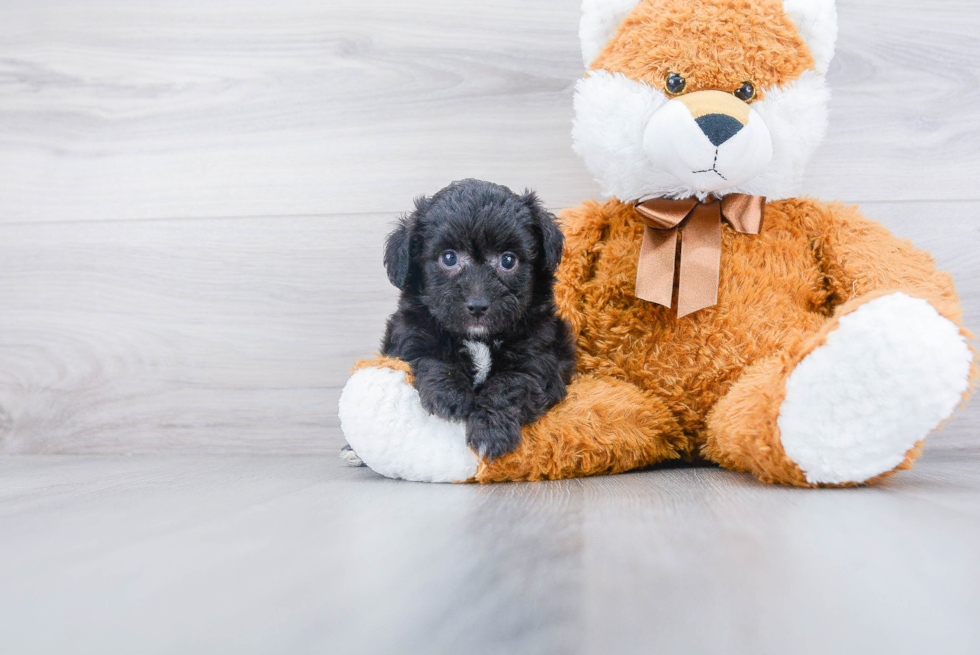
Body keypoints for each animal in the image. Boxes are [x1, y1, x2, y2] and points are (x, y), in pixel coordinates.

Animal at [378, 177, 580, 458]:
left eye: (508, 260)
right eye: (449, 257)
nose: (477, 306)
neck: (479, 339)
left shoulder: (538, 359)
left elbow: (510, 385)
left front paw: (490, 431)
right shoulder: (410, 338)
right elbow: (432, 358)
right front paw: (450, 395)